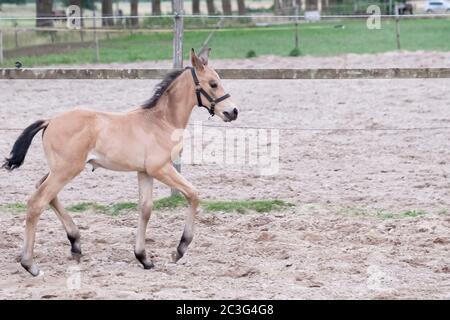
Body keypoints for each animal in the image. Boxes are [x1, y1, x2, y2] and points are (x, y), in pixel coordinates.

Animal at [2, 48, 239, 276]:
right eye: (213, 83)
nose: (233, 111)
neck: (161, 121)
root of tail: (50, 121)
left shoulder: (145, 172)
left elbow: (145, 209)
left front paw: (143, 258)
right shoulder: (160, 169)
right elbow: (193, 194)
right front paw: (179, 250)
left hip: (60, 169)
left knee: (42, 189)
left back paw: (75, 243)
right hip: (66, 170)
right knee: (37, 202)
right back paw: (30, 264)